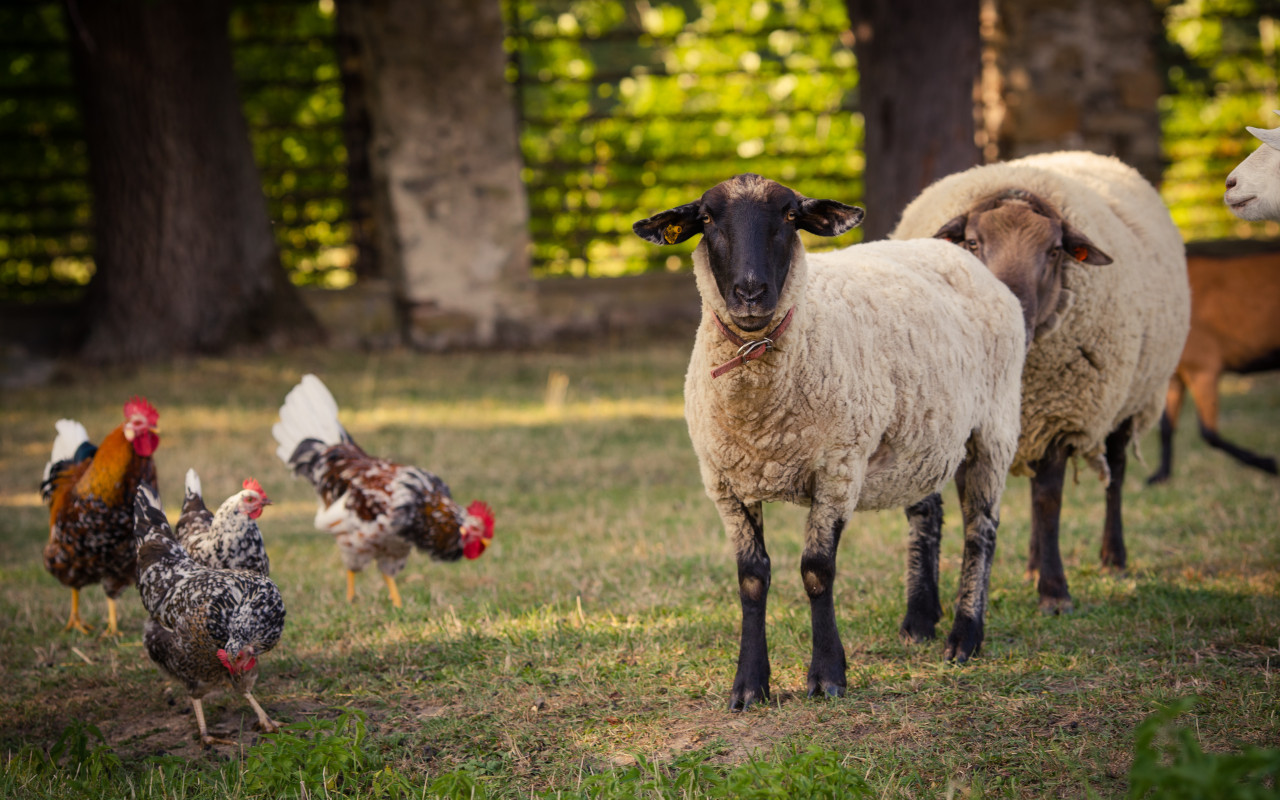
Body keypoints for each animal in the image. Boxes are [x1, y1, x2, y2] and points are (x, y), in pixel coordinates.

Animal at [634, 174, 1024, 711]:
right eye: (708, 219)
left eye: (789, 216)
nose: (750, 292)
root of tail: (958, 254)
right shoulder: (725, 482)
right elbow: (751, 577)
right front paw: (749, 686)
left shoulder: (838, 468)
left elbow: (816, 570)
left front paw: (826, 676)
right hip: (924, 436)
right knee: (928, 515)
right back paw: (920, 621)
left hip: (993, 428)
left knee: (980, 532)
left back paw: (965, 636)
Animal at [890, 149, 1187, 611]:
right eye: (972, 243)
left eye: (1054, 251)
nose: (1012, 315)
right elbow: (980, 503)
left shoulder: (1059, 418)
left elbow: (1049, 500)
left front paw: (1054, 592)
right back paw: (1031, 566)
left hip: (1131, 399)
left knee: (1116, 473)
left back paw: (1112, 558)